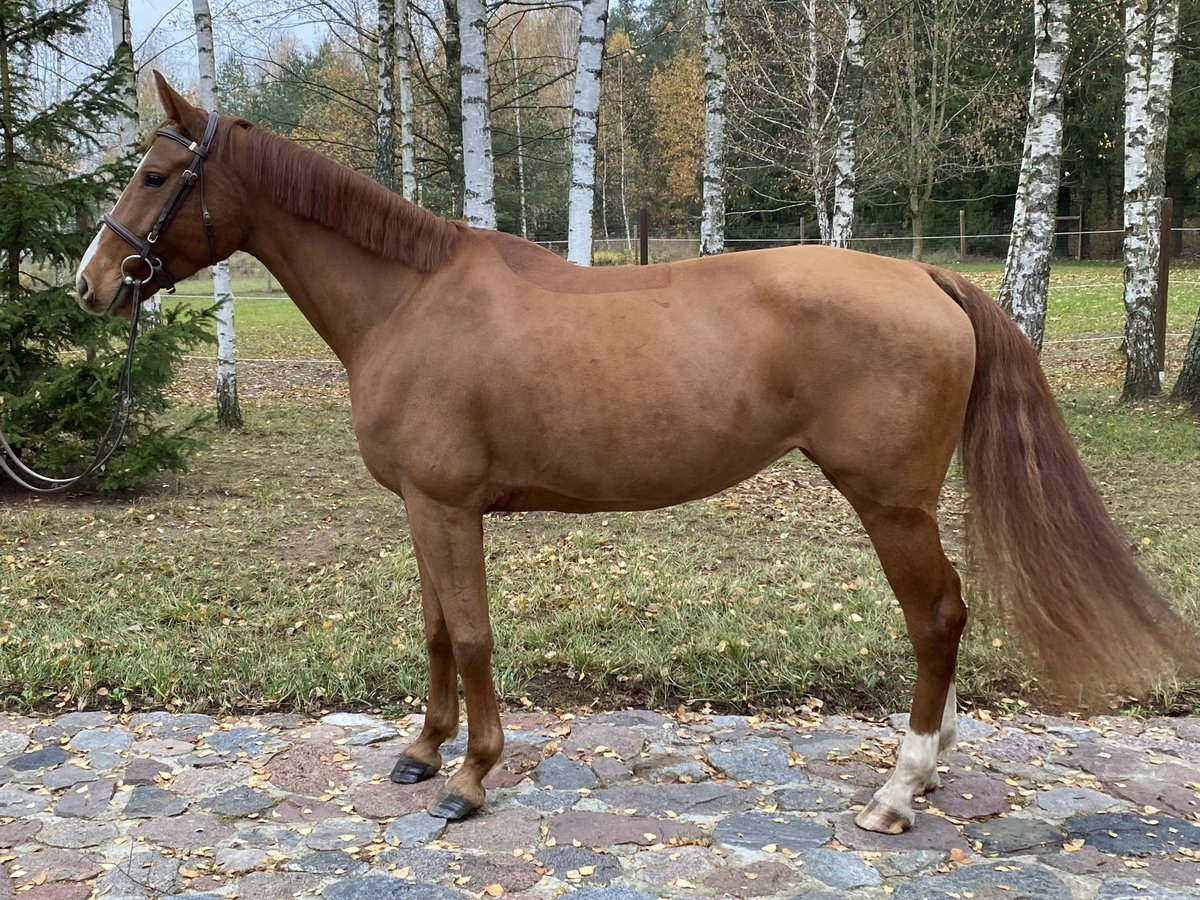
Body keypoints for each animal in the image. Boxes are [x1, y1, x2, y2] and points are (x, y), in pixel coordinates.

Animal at [79, 77, 1195, 840]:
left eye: (156, 175)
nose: (91, 286)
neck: (410, 299)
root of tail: (925, 276)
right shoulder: (423, 508)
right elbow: (436, 633)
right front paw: (421, 753)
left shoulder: (448, 506)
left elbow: (472, 638)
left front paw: (472, 778)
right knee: (946, 619)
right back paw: (929, 768)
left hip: (891, 504)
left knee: (937, 618)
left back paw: (895, 790)